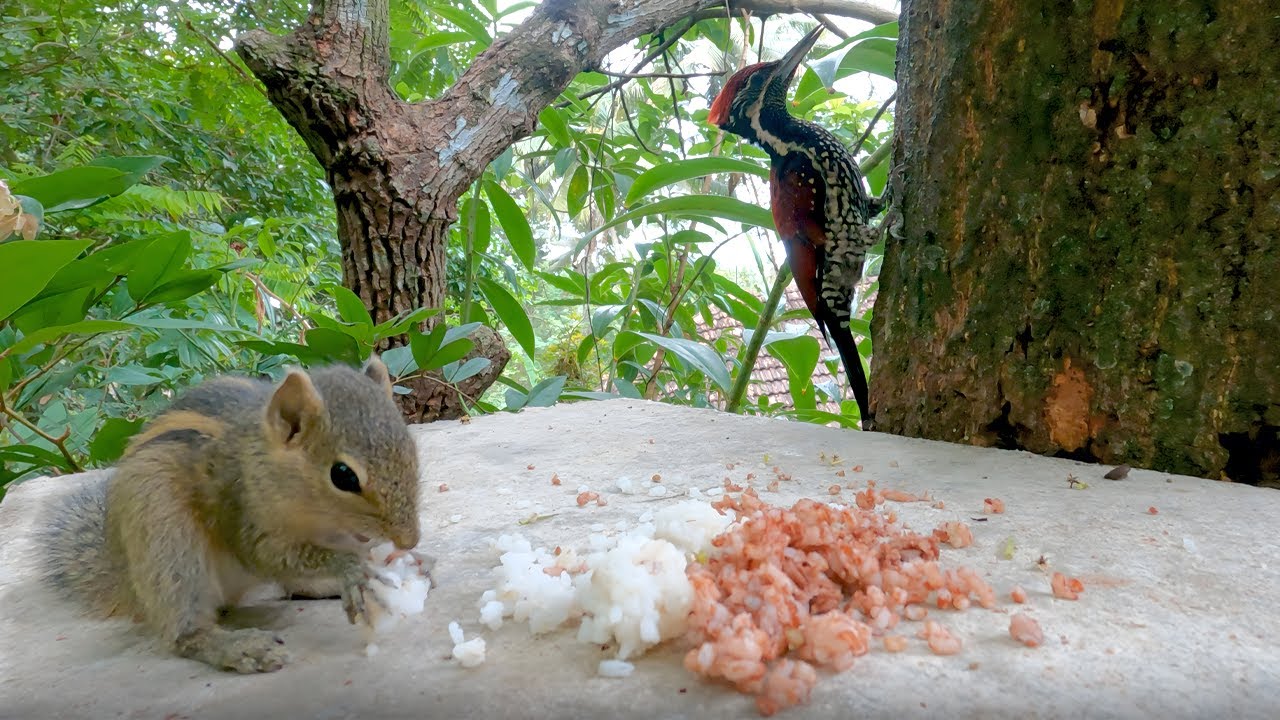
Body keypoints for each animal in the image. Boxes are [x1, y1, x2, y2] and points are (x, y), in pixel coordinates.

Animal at [37, 356, 429, 673]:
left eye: (410, 447)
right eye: (343, 475)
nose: (409, 538)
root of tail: (129, 583)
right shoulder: (242, 511)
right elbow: (269, 555)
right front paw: (350, 570)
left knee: (291, 584)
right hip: (163, 536)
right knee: (185, 631)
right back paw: (239, 647)